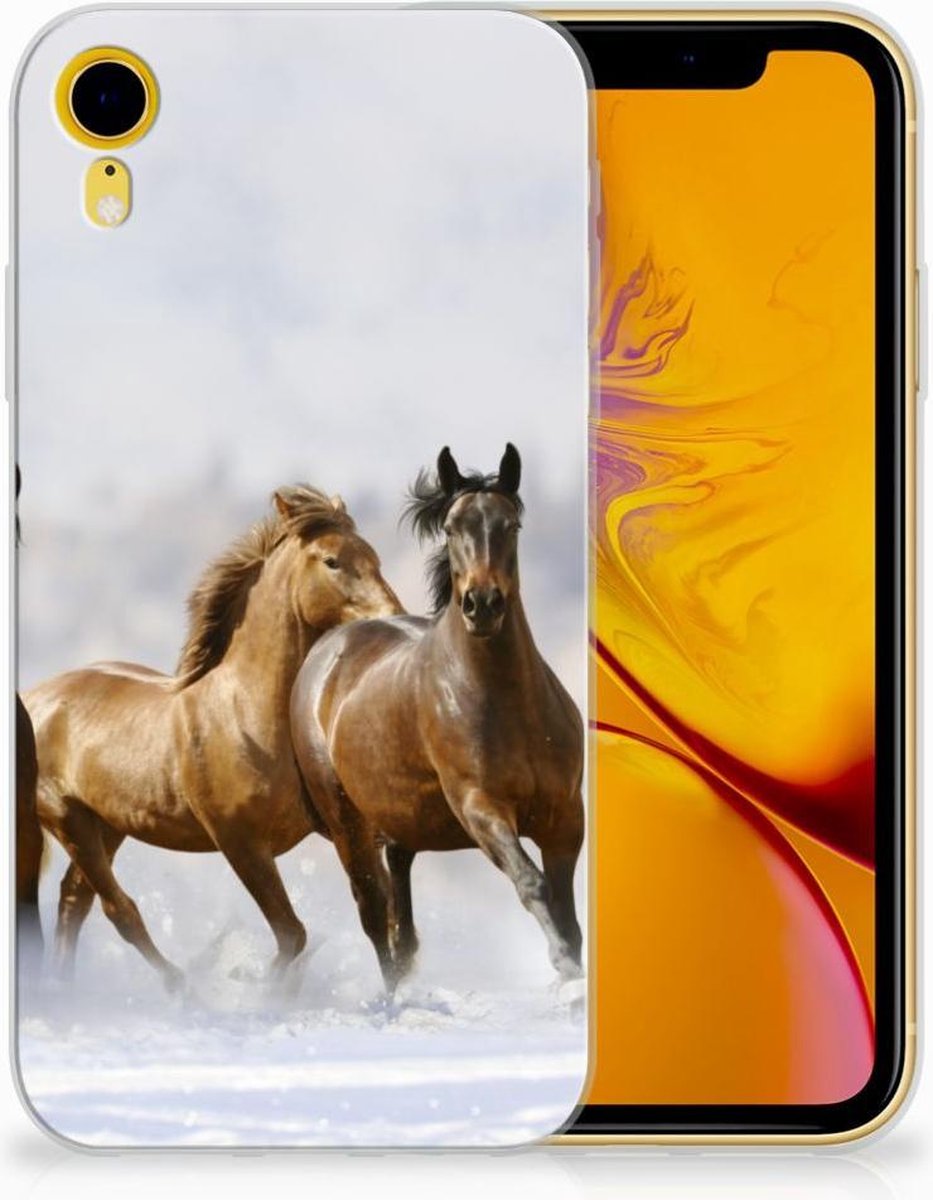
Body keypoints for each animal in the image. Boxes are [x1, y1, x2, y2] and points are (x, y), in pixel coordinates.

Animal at [25, 486, 401, 989]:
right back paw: (181, 986)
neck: (247, 715)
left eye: (373, 556)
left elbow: (376, 908)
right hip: (69, 820)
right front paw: (257, 987)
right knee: (118, 909)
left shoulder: (343, 826)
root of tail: (32, 699)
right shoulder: (239, 842)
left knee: (73, 901)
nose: (394, 618)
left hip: (107, 825)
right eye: (332, 561)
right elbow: (292, 934)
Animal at [290, 445, 584, 993]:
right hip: (348, 825)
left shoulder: (565, 817)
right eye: (450, 527)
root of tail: (325, 652)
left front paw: (574, 968)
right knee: (374, 913)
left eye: (511, 524)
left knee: (400, 921)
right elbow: (531, 883)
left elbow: (567, 908)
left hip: (401, 825)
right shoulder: (480, 807)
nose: (482, 604)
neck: (508, 704)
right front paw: (564, 968)